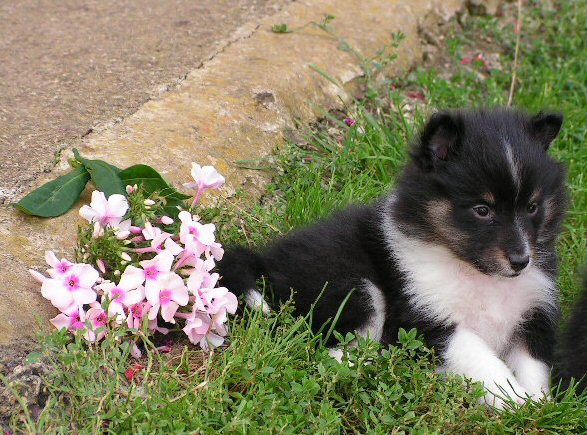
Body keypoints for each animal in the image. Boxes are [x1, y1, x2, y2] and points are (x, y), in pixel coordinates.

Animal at [218, 108, 568, 408]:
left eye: (532, 207)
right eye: (482, 210)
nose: (521, 261)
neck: (476, 272)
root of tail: (265, 261)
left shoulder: (532, 315)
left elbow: (534, 365)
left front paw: (540, 404)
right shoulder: (425, 319)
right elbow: (483, 360)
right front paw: (517, 403)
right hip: (353, 287)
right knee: (328, 353)